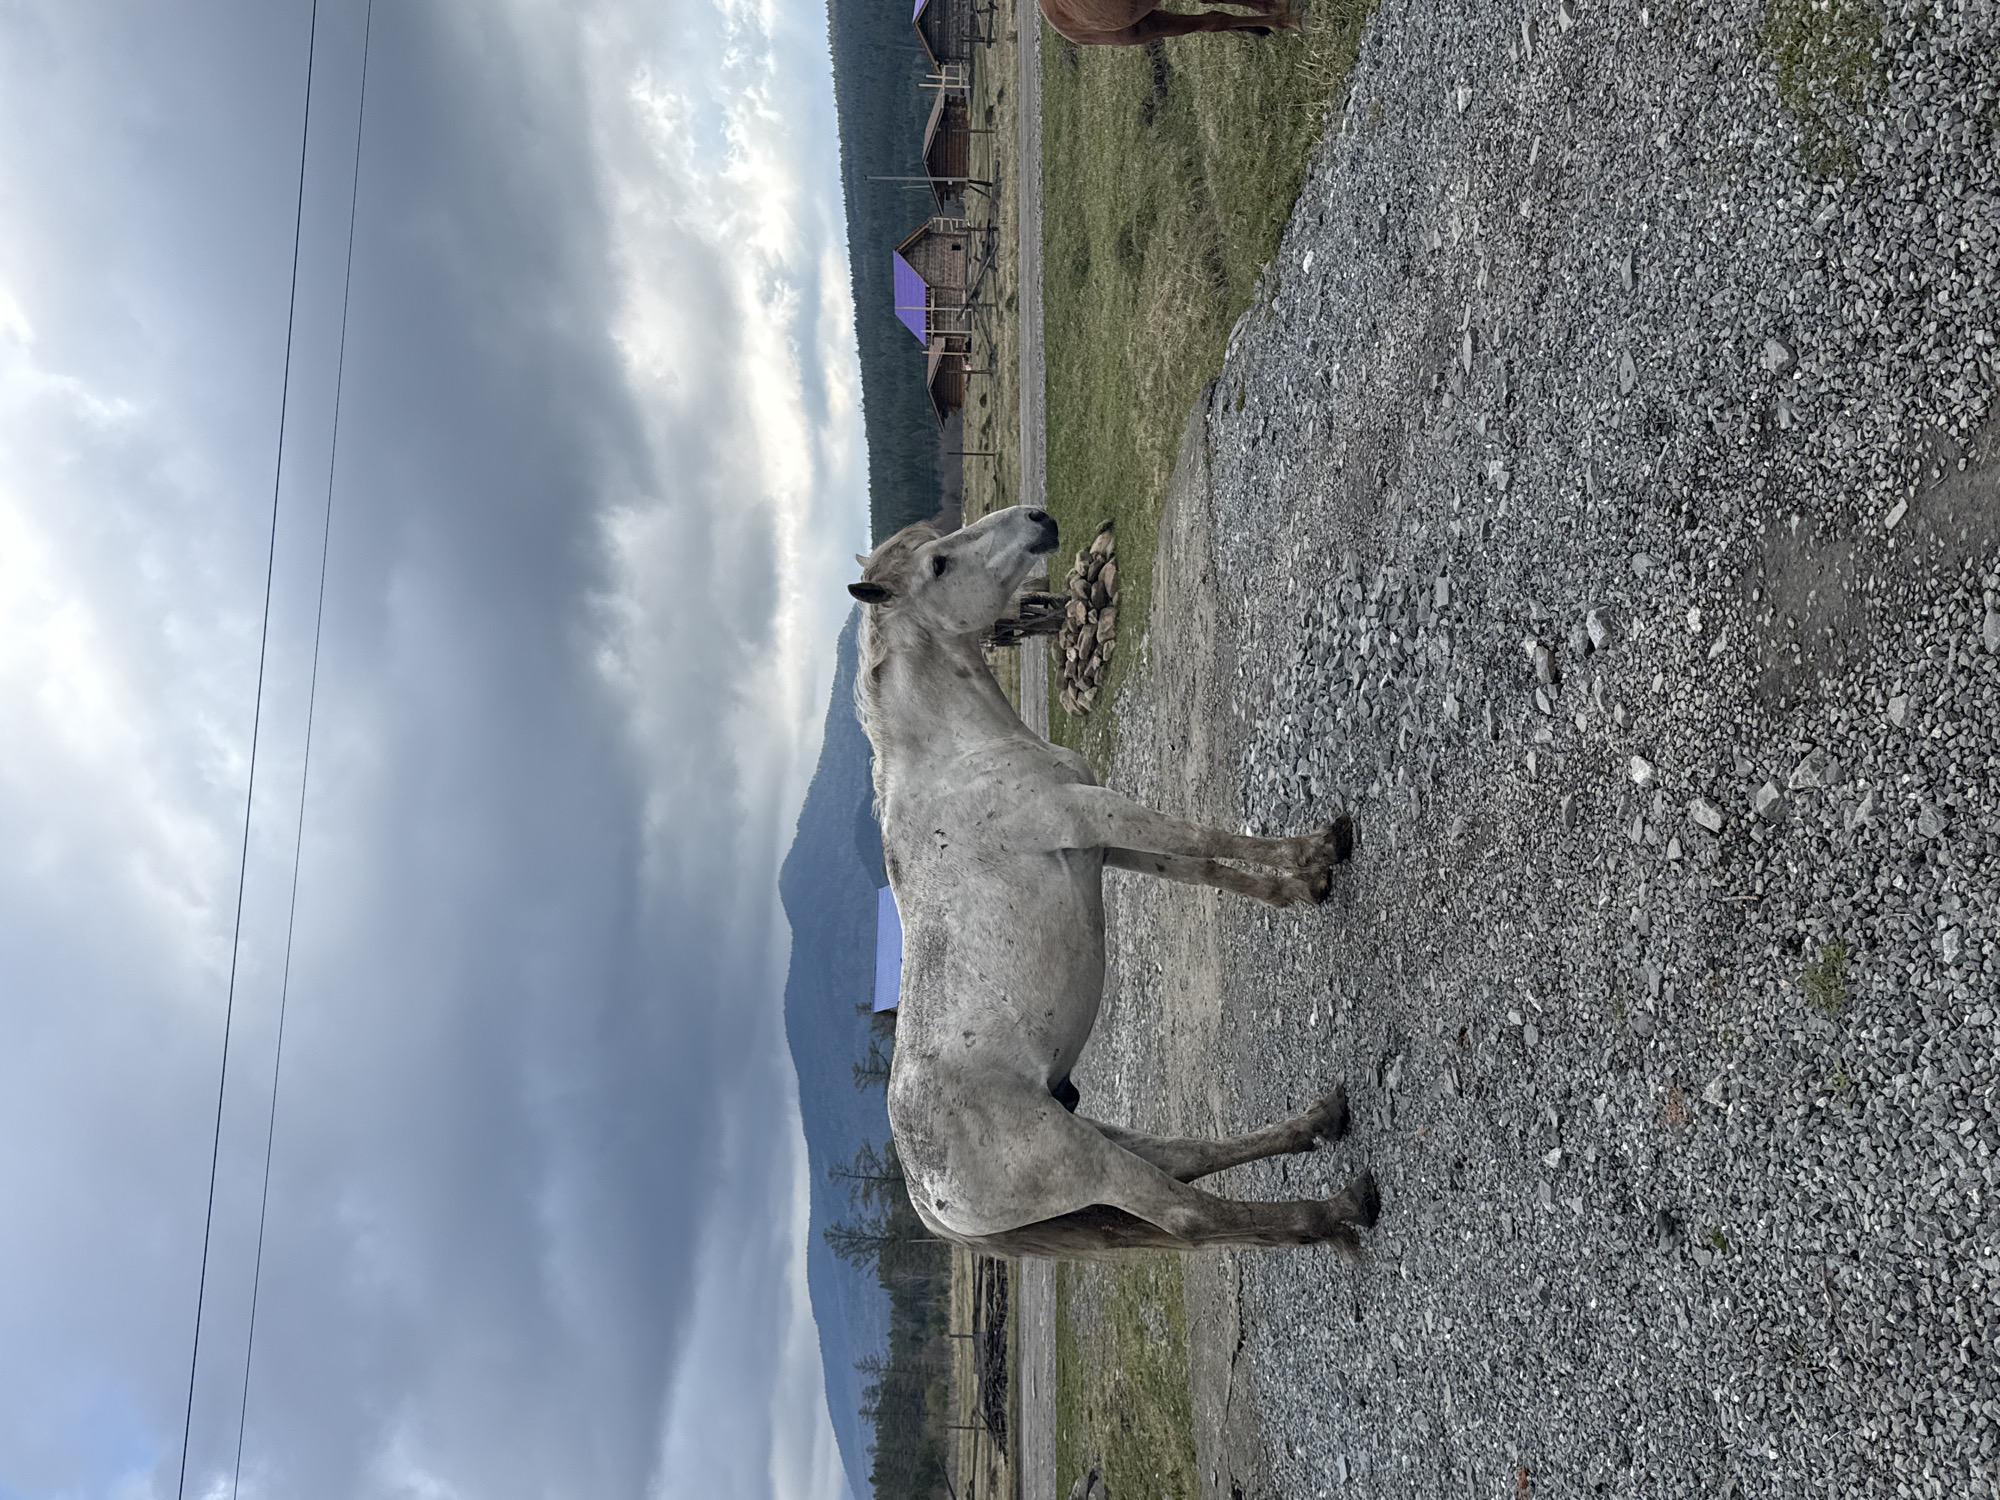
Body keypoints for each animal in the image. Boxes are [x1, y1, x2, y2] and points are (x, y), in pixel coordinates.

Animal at [848, 506, 1377, 1260]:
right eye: (939, 564)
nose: (1039, 519)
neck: (958, 760)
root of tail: (933, 1202)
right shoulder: (1094, 814)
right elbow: (1202, 839)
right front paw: (1319, 852)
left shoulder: (1102, 844)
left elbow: (1202, 865)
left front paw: (1300, 888)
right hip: (1085, 1161)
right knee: (1189, 1215)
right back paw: (1336, 1210)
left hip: (1095, 1138)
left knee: (1184, 1157)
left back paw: (1318, 1123)